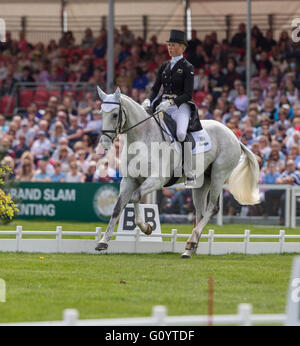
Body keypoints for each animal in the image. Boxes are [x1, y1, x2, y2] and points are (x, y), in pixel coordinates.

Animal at [95, 87, 258, 256]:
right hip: (202, 182)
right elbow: (117, 207)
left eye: (115, 114)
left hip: (218, 176)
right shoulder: (129, 180)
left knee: (212, 208)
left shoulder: (156, 180)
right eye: (101, 113)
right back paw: (190, 248)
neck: (142, 139)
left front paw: (146, 227)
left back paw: (191, 242)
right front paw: (103, 242)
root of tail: (234, 137)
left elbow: (135, 197)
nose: (104, 143)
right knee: (200, 212)